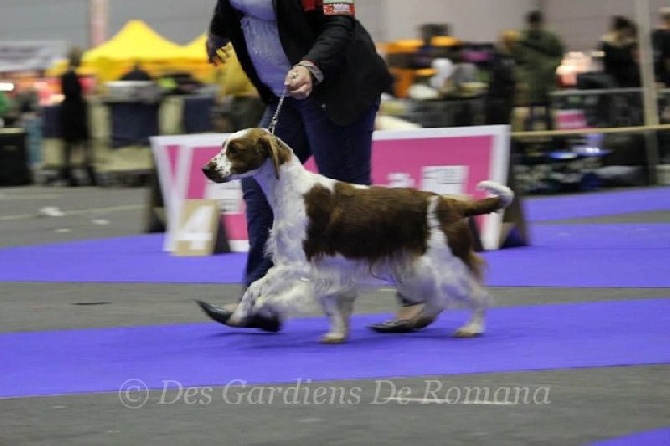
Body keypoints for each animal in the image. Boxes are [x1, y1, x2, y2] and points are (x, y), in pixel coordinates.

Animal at [203, 127, 516, 344]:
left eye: (235, 149)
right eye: (223, 146)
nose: (207, 168)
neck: (289, 192)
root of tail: (451, 203)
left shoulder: (295, 264)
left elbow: (256, 287)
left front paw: (246, 313)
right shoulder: (325, 268)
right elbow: (330, 305)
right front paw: (336, 334)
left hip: (445, 262)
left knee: (477, 294)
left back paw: (472, 327)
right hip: (418, 267)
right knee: (438, 297)